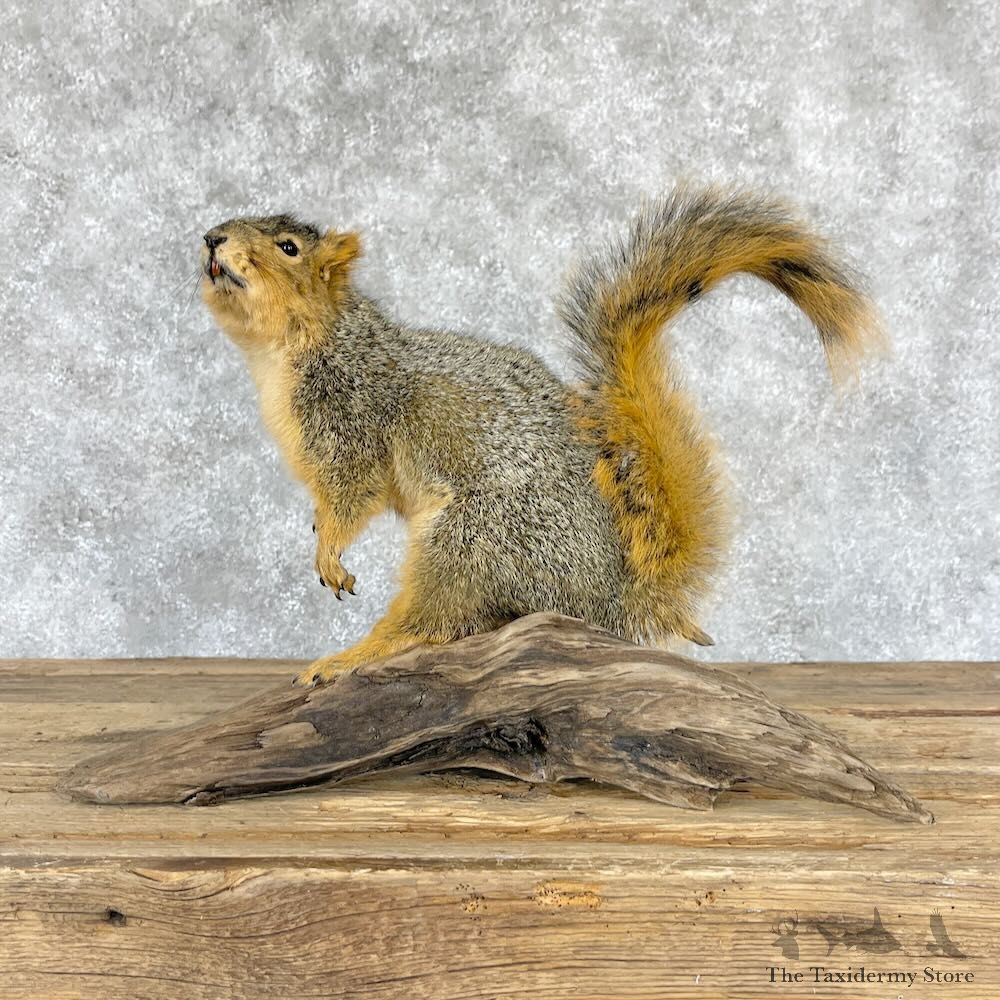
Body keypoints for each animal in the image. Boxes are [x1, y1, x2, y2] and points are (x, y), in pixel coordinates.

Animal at [200, 187, 883, 686]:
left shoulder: (353, 419)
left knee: (436, 620)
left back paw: (354, 656)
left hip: (472, 539)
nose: (211, 237)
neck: (291, 346)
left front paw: (330, 552)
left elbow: (351, 495)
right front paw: (317, 533)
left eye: (288, 246)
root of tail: (617, 600)